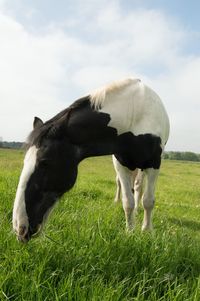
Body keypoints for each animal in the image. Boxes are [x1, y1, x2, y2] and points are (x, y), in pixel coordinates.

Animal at [12, 77, 170, 241]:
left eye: (45, 162)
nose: (20, 228)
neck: (133, 115)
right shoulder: (120, 164)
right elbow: (128, 201)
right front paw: (130, 232)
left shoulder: (154, 163)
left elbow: (148, 201)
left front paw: (147, 232)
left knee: (139, 187)